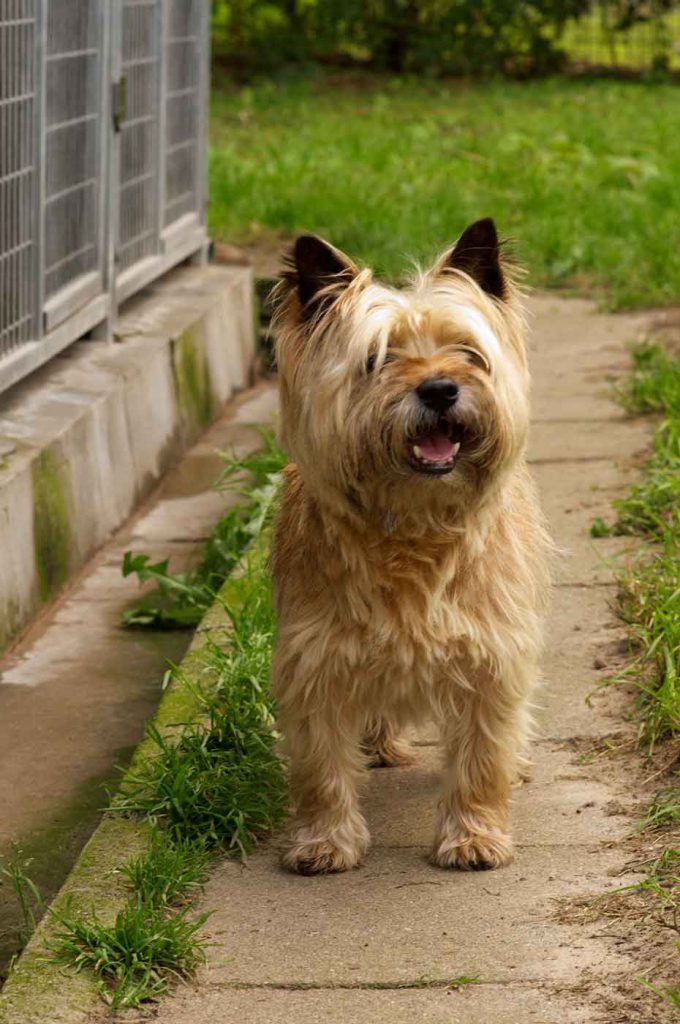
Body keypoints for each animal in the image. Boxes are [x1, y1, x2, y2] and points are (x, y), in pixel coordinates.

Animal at [268, 220, 548, 876]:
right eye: (377, 359)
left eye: (468, 353)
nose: (441, 389)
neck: (412, 524)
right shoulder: (314, 659)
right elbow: (320, 765)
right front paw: (325, 840)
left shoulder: (492, 653)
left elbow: (481, 757)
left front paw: (473, 835)